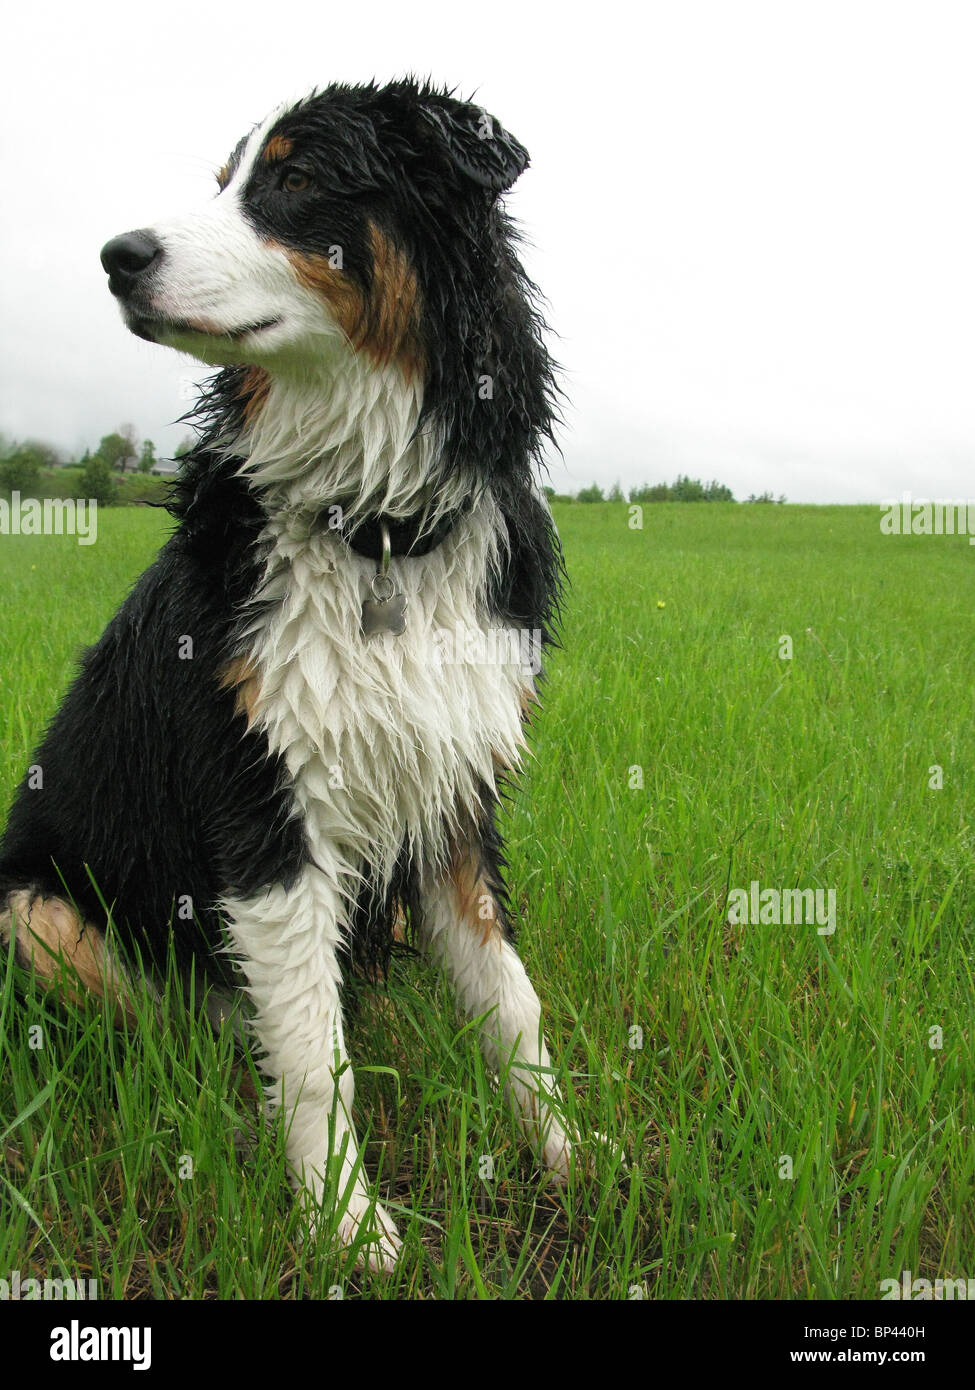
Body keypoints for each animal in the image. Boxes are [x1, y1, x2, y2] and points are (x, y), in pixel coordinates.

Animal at [0, 76, 570, 1273]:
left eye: (296, 178)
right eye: (221, 181)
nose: (116, 255)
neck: (378, 532)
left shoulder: (457, 791)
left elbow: (511, 1000)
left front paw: (571, 1156)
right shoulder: (261, 804)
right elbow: (311, 1052)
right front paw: (349, 1225)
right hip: (35, 911)